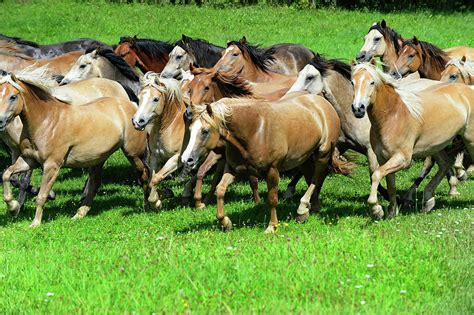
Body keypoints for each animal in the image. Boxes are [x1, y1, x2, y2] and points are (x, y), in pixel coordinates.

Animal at [0, 71, 149, 227]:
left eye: (13, 96)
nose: (0, 121)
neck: (46, 121)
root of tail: (132, 106)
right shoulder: (28, 159)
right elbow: (7, 174)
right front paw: (13, 207)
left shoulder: (52, 165)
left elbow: (42, 195)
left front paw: (35, 223)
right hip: (99, 158)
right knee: (94, 183)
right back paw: (79, 213)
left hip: (133, 154)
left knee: (145, 174)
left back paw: (149, 204)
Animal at [181, 92, 352, 233]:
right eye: (190, 129)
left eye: (205, 131)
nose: (186, 159)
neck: (255, 130)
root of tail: (322, 103)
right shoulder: (233, 169)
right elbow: (220, 190)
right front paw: (225, 222)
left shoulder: (272, 171)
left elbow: (272, 198)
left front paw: (272, 226)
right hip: (304, 157)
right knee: (312, 177)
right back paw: (313, 207)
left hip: (323, 153)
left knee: (317, 177)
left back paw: (302, 209)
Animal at [352, 63, 474, 221]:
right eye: (352, 82)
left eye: (371, 82)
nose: (358, 109)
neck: (393, 116)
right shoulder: (384, 158)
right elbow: (390, 185)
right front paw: (392, 213)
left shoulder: (403, 159)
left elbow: (376, 175)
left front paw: (376, 210)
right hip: (435, 146)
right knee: (445, 163)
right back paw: (428, 200)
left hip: (469, 140)